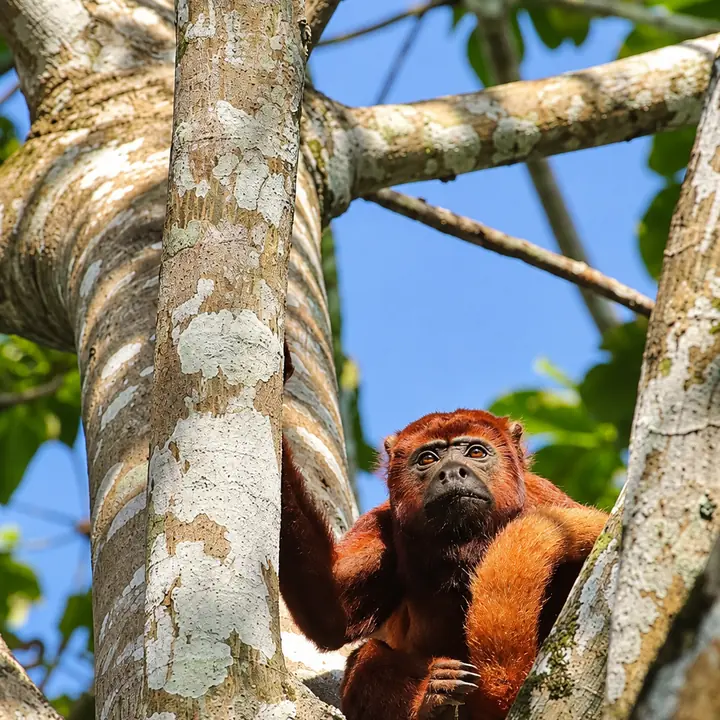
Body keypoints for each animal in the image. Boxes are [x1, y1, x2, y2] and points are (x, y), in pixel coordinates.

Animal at [279, 401, 608, 720]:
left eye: (476, 452)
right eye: (427, 458)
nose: (450, 472)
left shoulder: (544, 498)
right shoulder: (384, 520)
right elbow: (332, 613)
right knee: (367, 656)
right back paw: (432, 702)